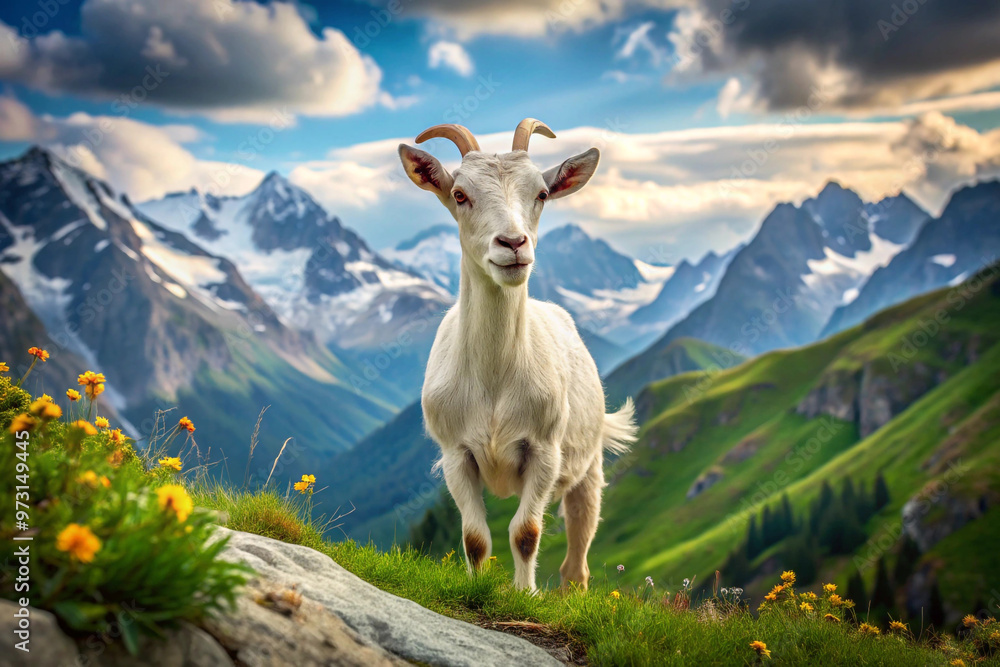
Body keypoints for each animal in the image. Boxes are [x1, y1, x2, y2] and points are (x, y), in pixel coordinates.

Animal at [398, 119, 638, 592]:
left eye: (541, 194)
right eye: (459, 194)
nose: (513, 243)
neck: (495, 381)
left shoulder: (543, 450)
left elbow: (525, 532)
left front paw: (525, 594)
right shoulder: (456, 454)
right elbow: (474, 537)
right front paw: (476, 588)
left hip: (588, 470)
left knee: (577, 561)